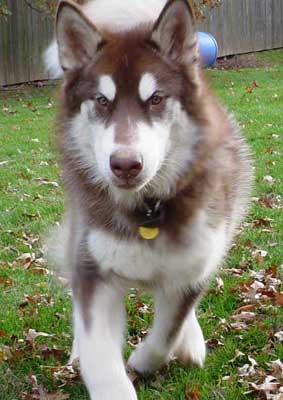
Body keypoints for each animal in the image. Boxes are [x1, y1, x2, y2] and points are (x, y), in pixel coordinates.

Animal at [46, 0, 253, 398]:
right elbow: (100, 355)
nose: (125, 165)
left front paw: (145, 360)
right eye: (101, 100)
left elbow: (168, 331)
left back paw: (191, 342)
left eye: (156, 98)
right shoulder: (94, 270)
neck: (147, 211)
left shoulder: (193, 268)